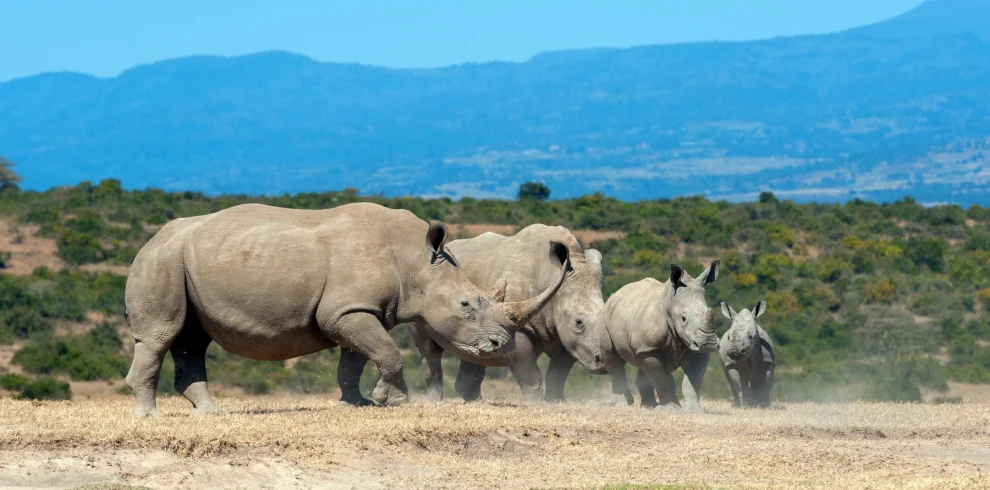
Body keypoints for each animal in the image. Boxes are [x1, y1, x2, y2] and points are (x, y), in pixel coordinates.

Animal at [123, 203, 568, 417]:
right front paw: (394, 401)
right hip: (162, 261)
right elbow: (386, 351)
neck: (415, 260)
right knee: (161, 335)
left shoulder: (356, 311)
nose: (499, 345)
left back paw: (210, 413)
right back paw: (149, 417)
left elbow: (354, 360)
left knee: (192, 340)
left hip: (184, 261)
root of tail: (152, 238)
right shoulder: (346, 311)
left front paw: (358, 403)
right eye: (466, 305)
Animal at [409, 225, 606, 402]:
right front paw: (535, 404)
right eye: (578, 322)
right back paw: (435, 401)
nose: (604, 362)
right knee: (429, 348)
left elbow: (558, 373)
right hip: (422, 290)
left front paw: (556, 402)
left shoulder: (567, 337)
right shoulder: (516, 327)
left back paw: (477, 402)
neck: (552, 276)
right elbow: (530, 374)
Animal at [596, 261, 720, 411]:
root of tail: (613, 296)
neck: (670, 304)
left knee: (642, 364)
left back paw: (649, 406)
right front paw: (671, 409)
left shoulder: (694, 346)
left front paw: (694, 410)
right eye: (683, 318)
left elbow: (692, 380)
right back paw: (623, 404)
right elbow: (663, 379)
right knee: (613, 358)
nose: (708, 343)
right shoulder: (650, 348)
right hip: (605, 316)